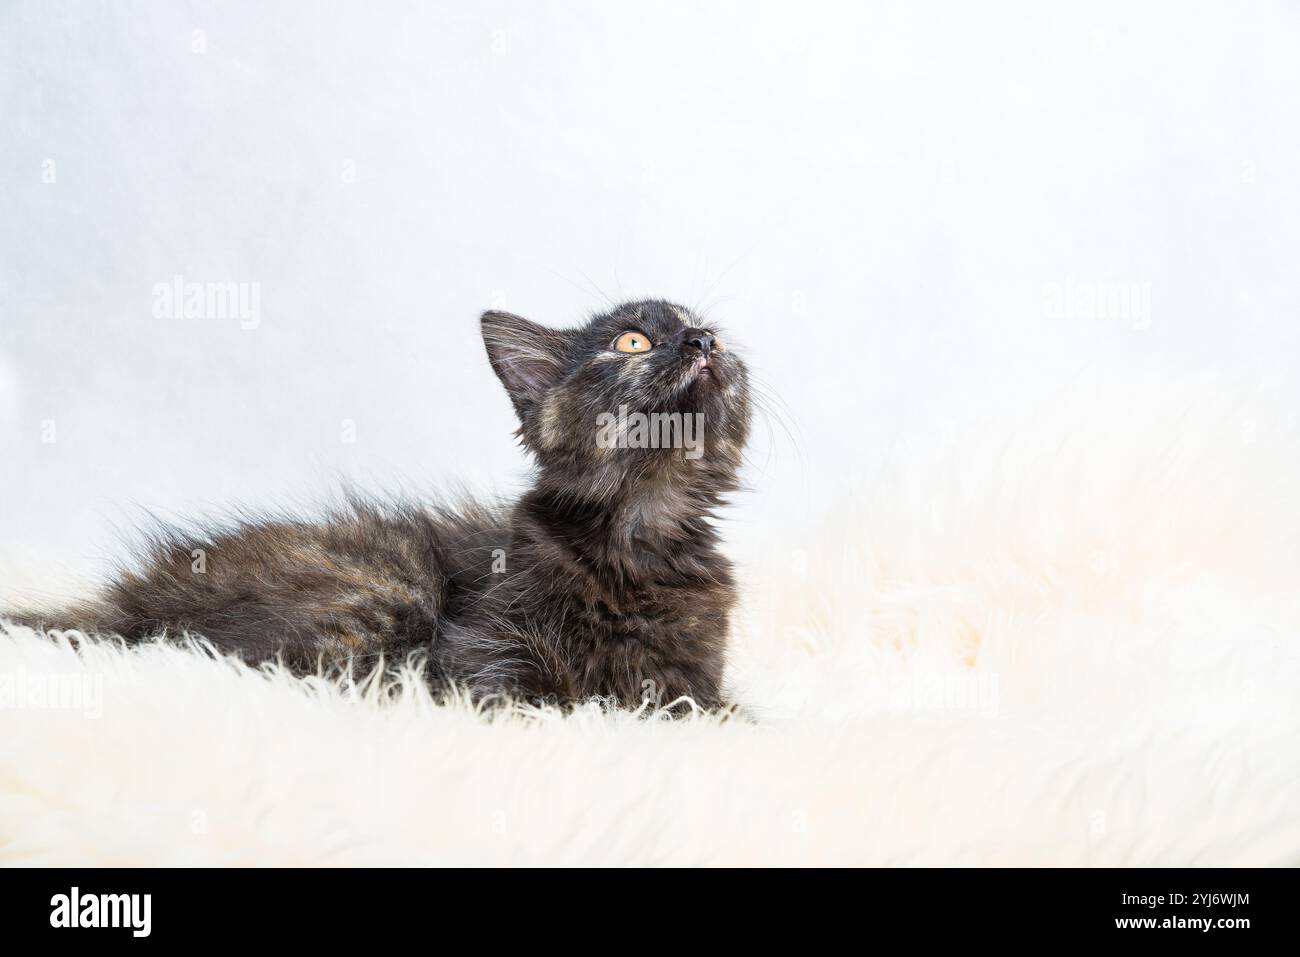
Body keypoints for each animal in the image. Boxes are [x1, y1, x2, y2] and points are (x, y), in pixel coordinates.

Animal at [12, 299, 754, 712]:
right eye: (631, 341)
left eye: (711, 331)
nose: (704, 342)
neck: (644, 529)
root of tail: (134, 595)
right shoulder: (480, 647)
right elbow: (530, 691)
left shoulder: (693, 684)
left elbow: (713, 710)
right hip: (393, 583)